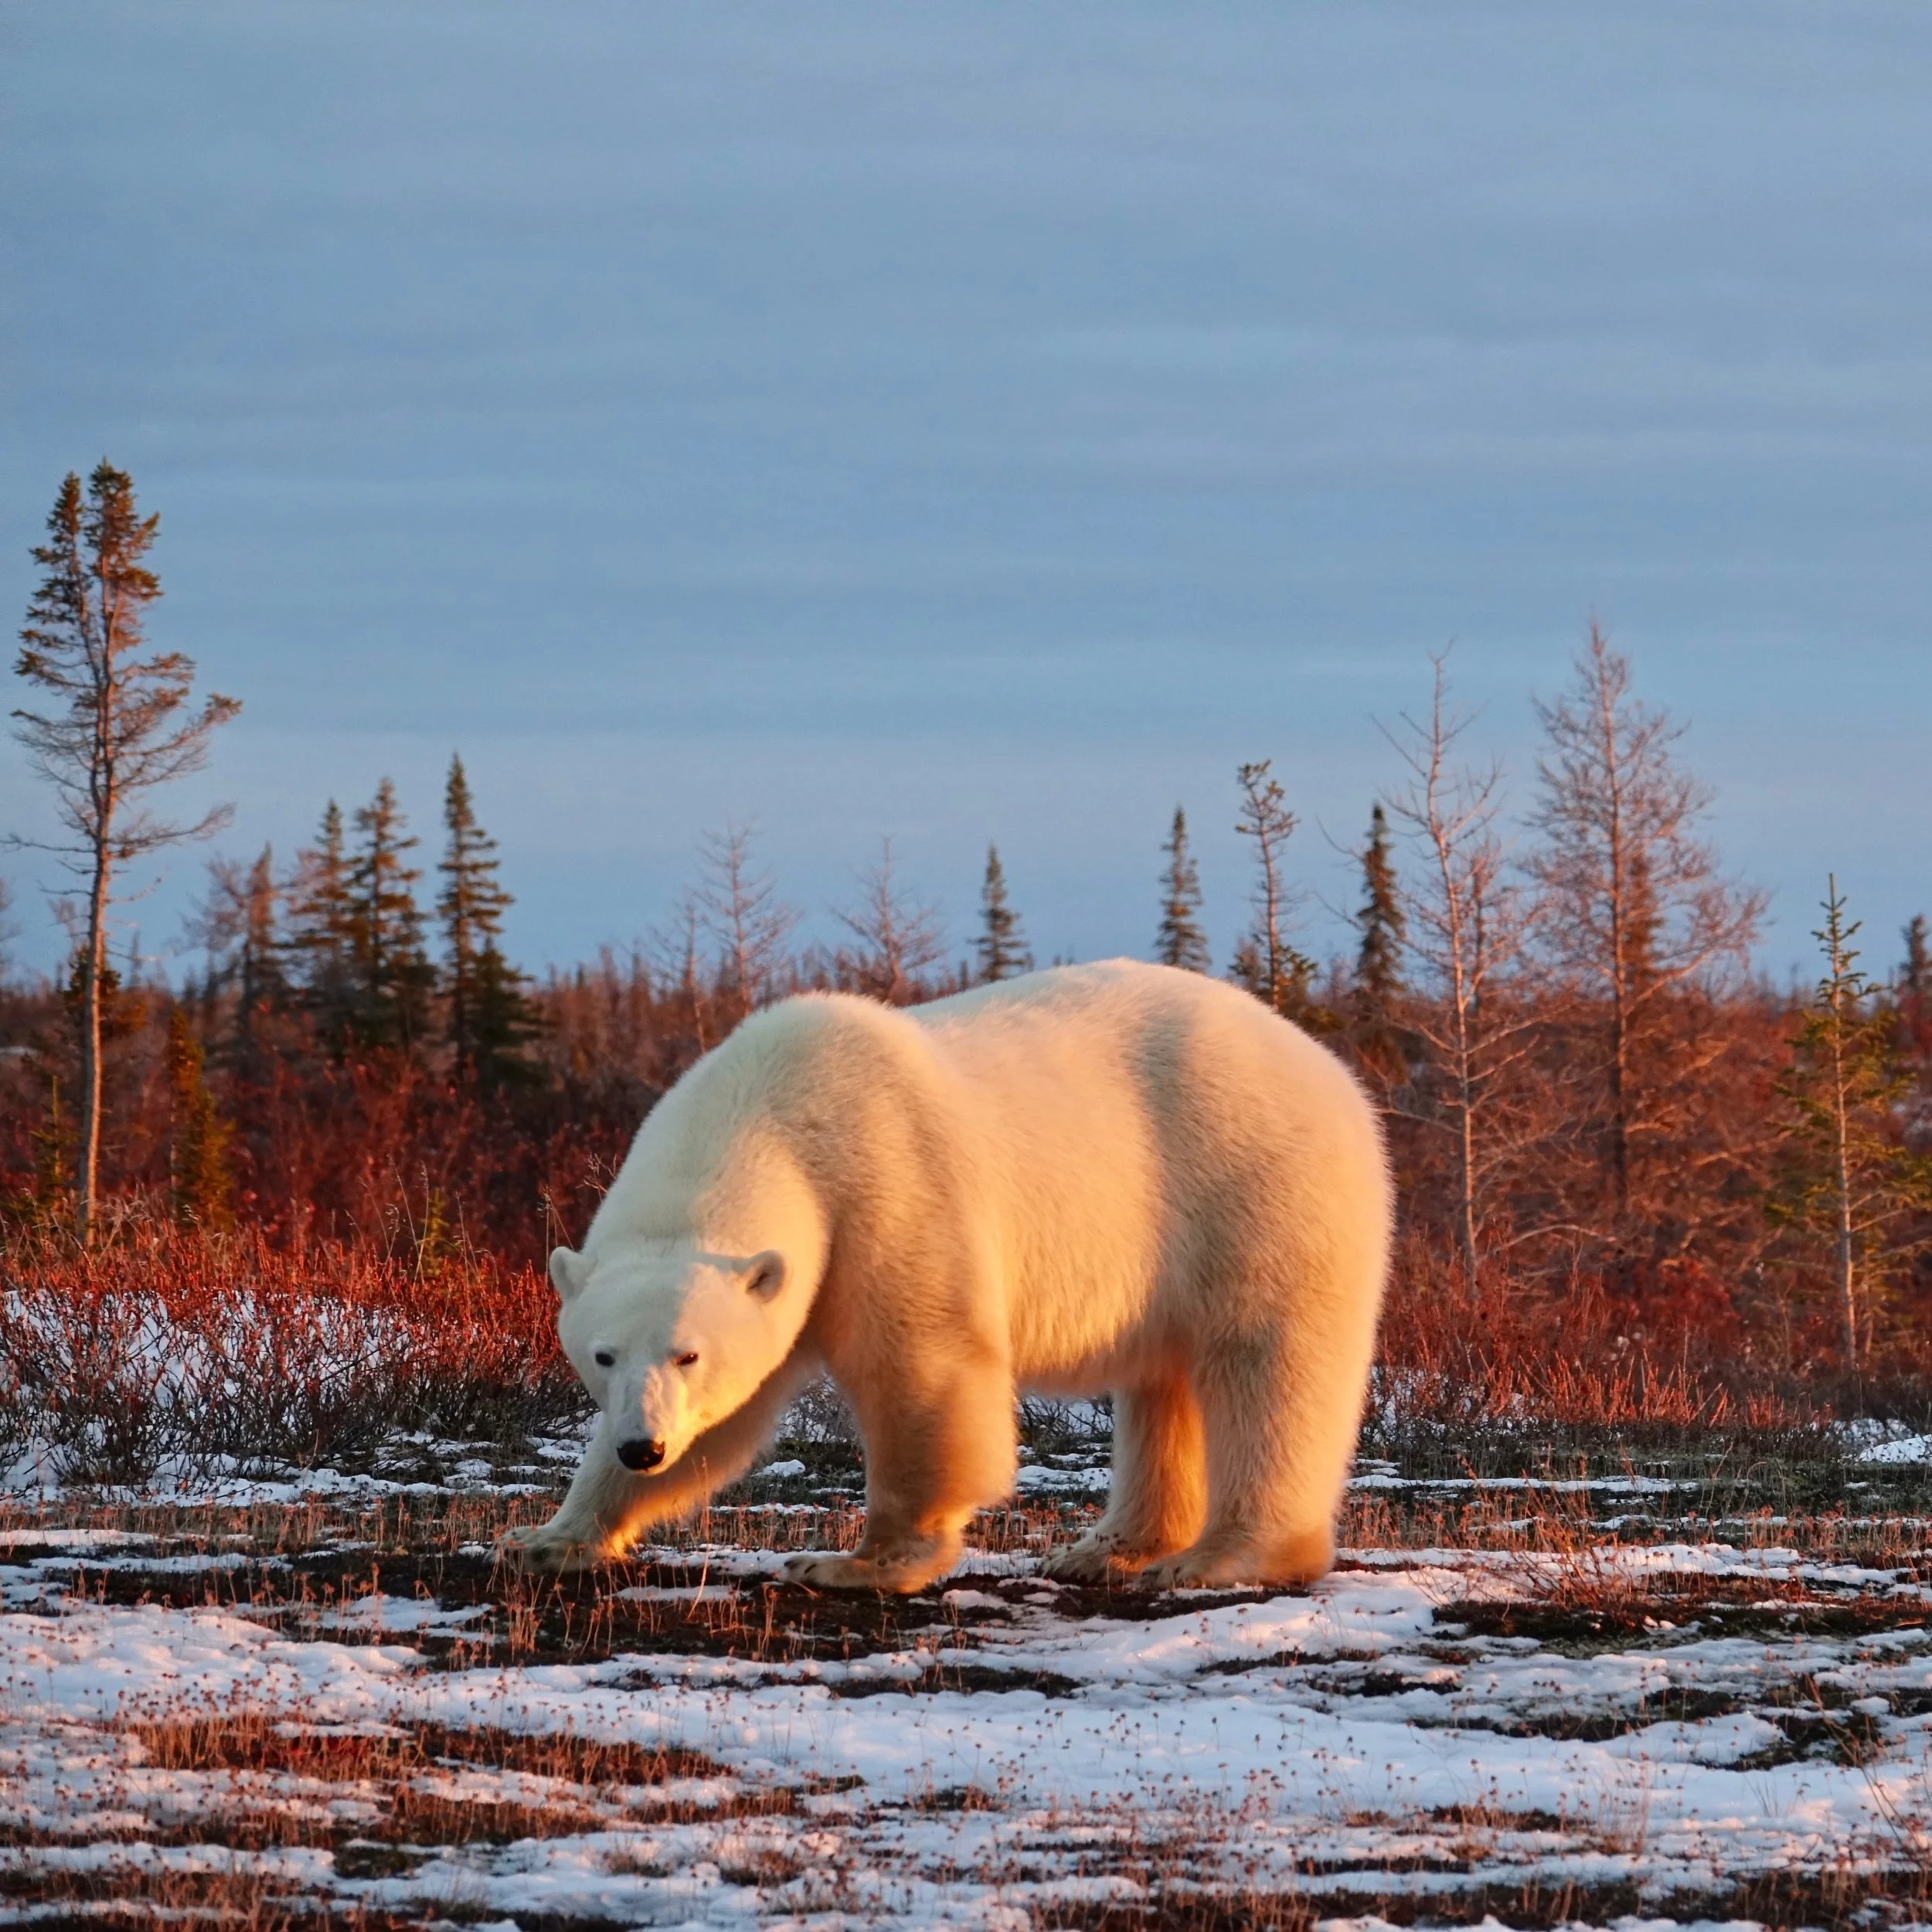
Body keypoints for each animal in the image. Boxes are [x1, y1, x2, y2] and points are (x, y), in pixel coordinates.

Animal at [500, 958, 1391, 1593]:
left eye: (688, 1352)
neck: (772, 1109)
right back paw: (1103, 1548)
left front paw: (856, 1563)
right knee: (1162, 1382)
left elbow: (920, 1366)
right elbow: (729, 1419)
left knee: (1265, 1366)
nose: (641, 1446)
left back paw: (1217, 1557)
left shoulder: (883, 1186)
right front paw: (549, 1537)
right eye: (603, 1355)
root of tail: (1335, 1071)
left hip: (1250, 1187)